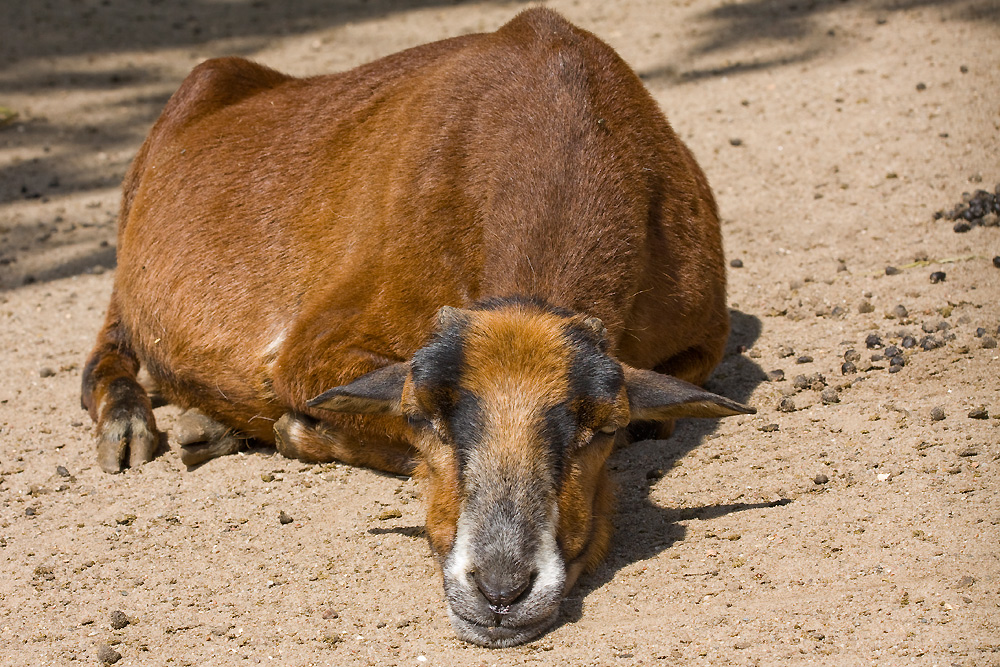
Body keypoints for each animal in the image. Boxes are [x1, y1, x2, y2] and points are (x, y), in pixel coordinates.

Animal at [82, 9, 752, 648]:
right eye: (422, 415)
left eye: (603, 428)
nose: (501, 592)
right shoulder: (314, 346)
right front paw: (289, 429)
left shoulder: (702, 339)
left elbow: (658, 418)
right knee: (108, 346)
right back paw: (129, 422)